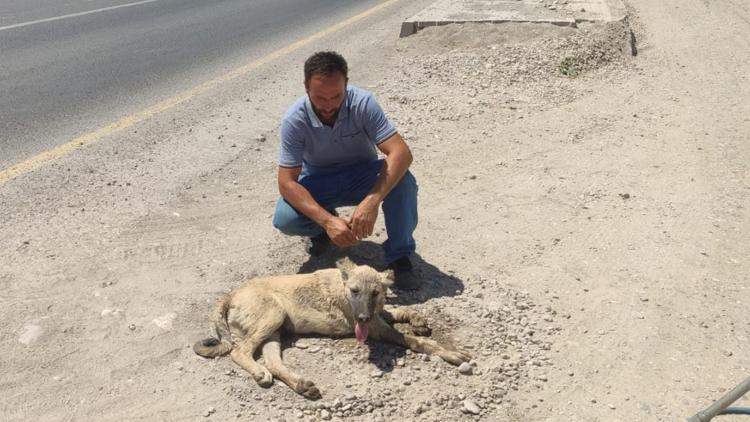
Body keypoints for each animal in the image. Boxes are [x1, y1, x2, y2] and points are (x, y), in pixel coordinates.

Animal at [197, 258, 472, 398]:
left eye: (375, 292)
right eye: (355, 291)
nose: (361, 318)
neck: (344, 286)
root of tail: (232, 294)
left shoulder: (378, 315)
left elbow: (405, 311)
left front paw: (418, 321)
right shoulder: (377, 328)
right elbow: (417, 341)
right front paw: (449, 352)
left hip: (275, 330)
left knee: (273, 362)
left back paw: (301, 385)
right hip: (272, 316)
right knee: (239, 351)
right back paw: (258, 372)